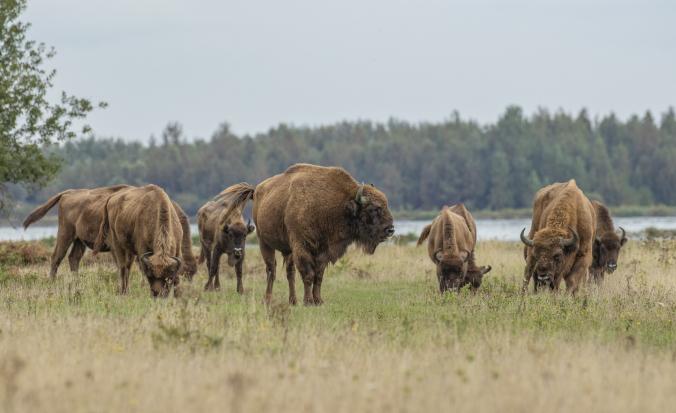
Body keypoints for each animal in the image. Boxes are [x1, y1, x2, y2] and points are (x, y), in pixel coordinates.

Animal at [23, 187, 198, 280]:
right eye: (186, 273)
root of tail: (67, 193)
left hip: (79, 240)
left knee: (74, 258)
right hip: (65, 234)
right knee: (56, 257)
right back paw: (52, 282)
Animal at [246, 163, 396, 302]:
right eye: (373, 209)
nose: (390, 230)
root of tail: (257, 190)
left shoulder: (324, 251)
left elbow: (318, 276)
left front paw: (318, 300)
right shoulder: (302, 248)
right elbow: (308, 275)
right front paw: (308, 301)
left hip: (287, 250)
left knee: (290, 272)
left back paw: (293, 301)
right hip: (264, 242)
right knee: (271, 270)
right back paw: (267, 299)